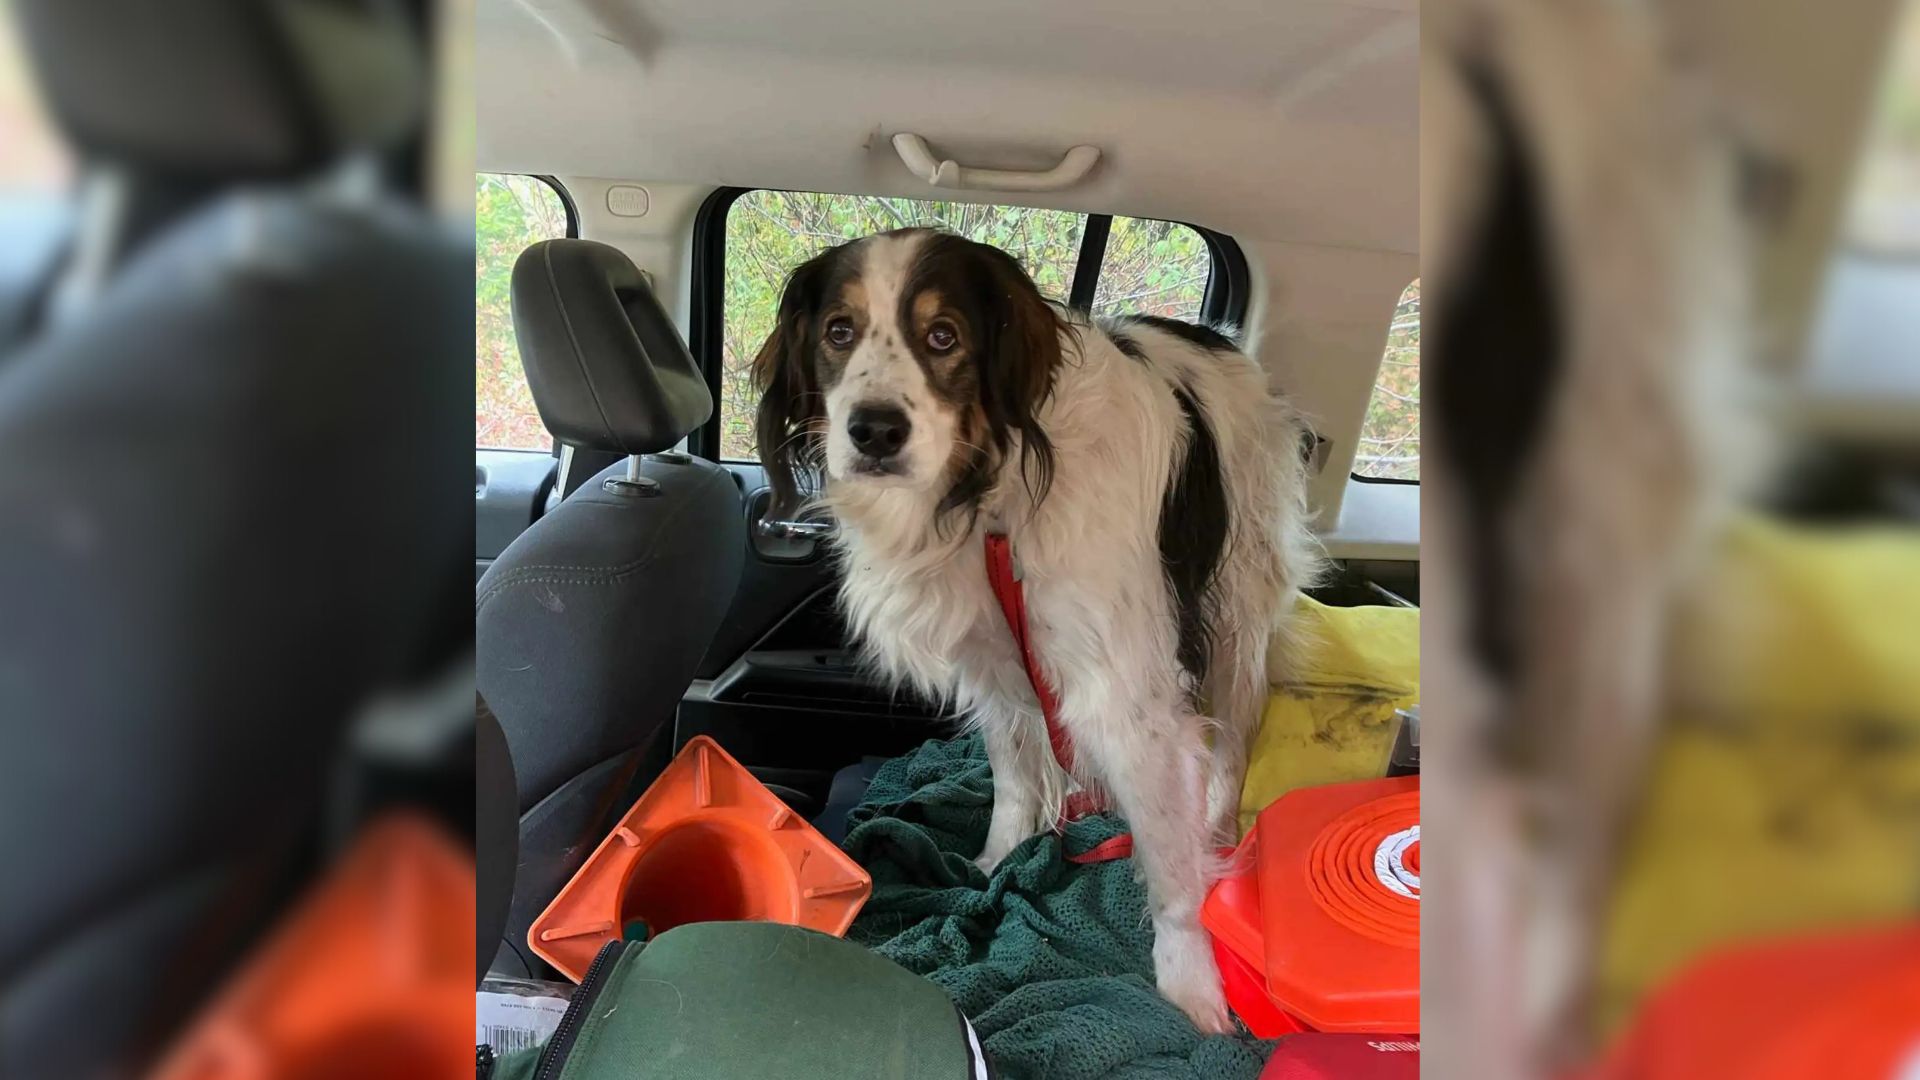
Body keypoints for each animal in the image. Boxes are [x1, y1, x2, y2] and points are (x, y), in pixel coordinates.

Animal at [752, 228, 1320, 1022]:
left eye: (943, 336)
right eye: (838, 331)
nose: (873, 431)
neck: (992, 495)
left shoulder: (1124, 694)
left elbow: (1170, 864)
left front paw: (1188, 983)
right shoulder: (993, 655)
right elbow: (1016, 773)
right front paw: (999, 858)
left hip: (1238, 606)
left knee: (1234, 736)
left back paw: (1218, 830)